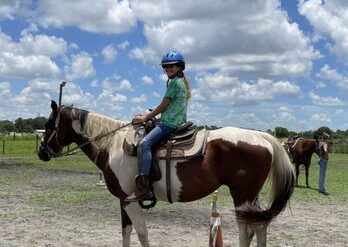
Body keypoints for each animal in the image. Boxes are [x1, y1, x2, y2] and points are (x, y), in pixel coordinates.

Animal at [37, 101, 294, 247]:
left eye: (49, 124)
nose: (41, 152)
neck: (114, 144)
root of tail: (263, 137)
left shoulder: (131, 200)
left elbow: (142, 233)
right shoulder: (123, 200)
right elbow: (126, 232)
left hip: (241, 197)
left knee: (247, 232)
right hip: (252, 198)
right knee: (260, 228)